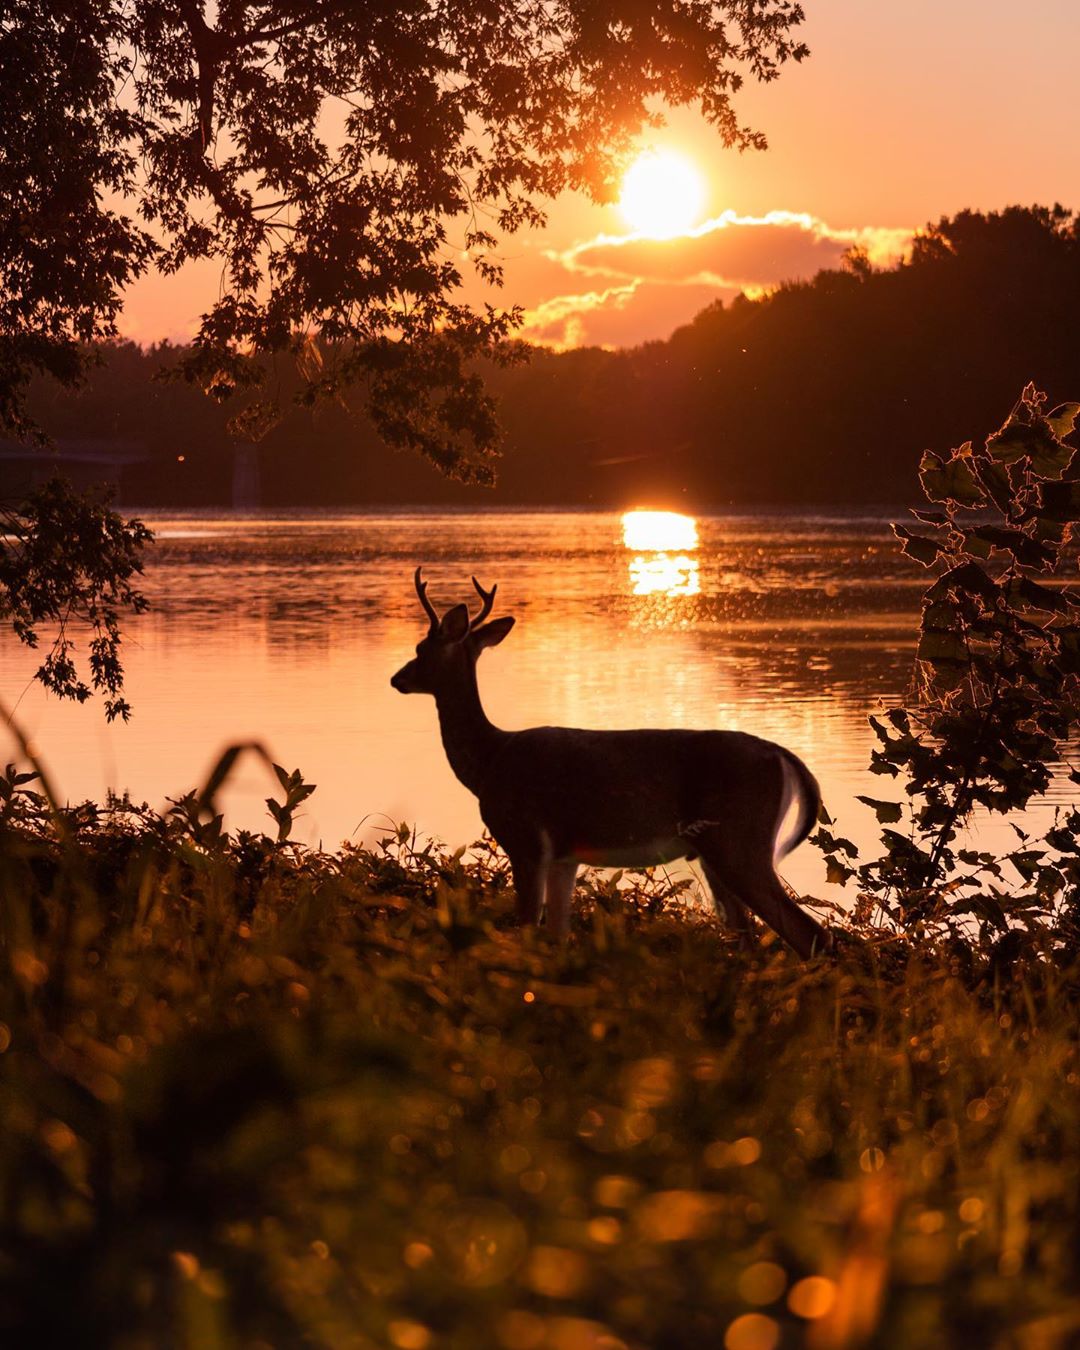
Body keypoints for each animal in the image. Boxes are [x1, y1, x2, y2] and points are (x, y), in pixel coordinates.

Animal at [391, 569, 831, 961]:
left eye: (419, 650)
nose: (397, 679)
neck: (489, 760)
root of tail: (784, 756)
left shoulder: (526, 840)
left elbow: (528, 928)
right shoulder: (565, 856)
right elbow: (558, 935)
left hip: (739, 841)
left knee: (810, 933)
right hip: (718, 851)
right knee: (750, 936)